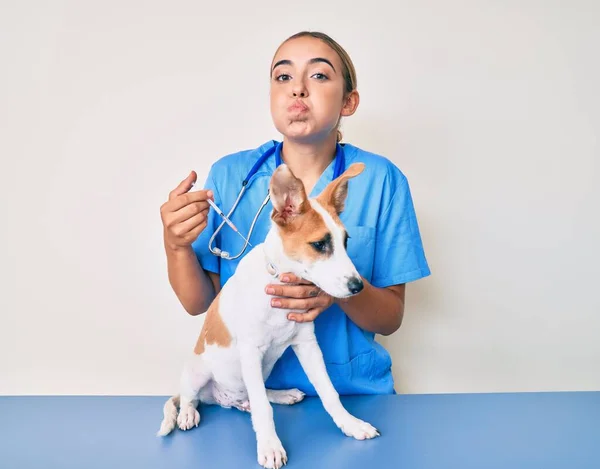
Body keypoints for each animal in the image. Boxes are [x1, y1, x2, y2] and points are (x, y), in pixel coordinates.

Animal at [159, 162, 380, 468]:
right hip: (198, 371)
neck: (279, 277)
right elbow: (263, 410)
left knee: (256, 395)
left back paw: (282, 394)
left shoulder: (307, 345)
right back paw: (188, 414)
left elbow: (328, 391)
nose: (358, 287)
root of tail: (222, 398)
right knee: (194, 398)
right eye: (319, 245)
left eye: (345, 241)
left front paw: (351, 424)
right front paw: (270, 447)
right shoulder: (251, 352)